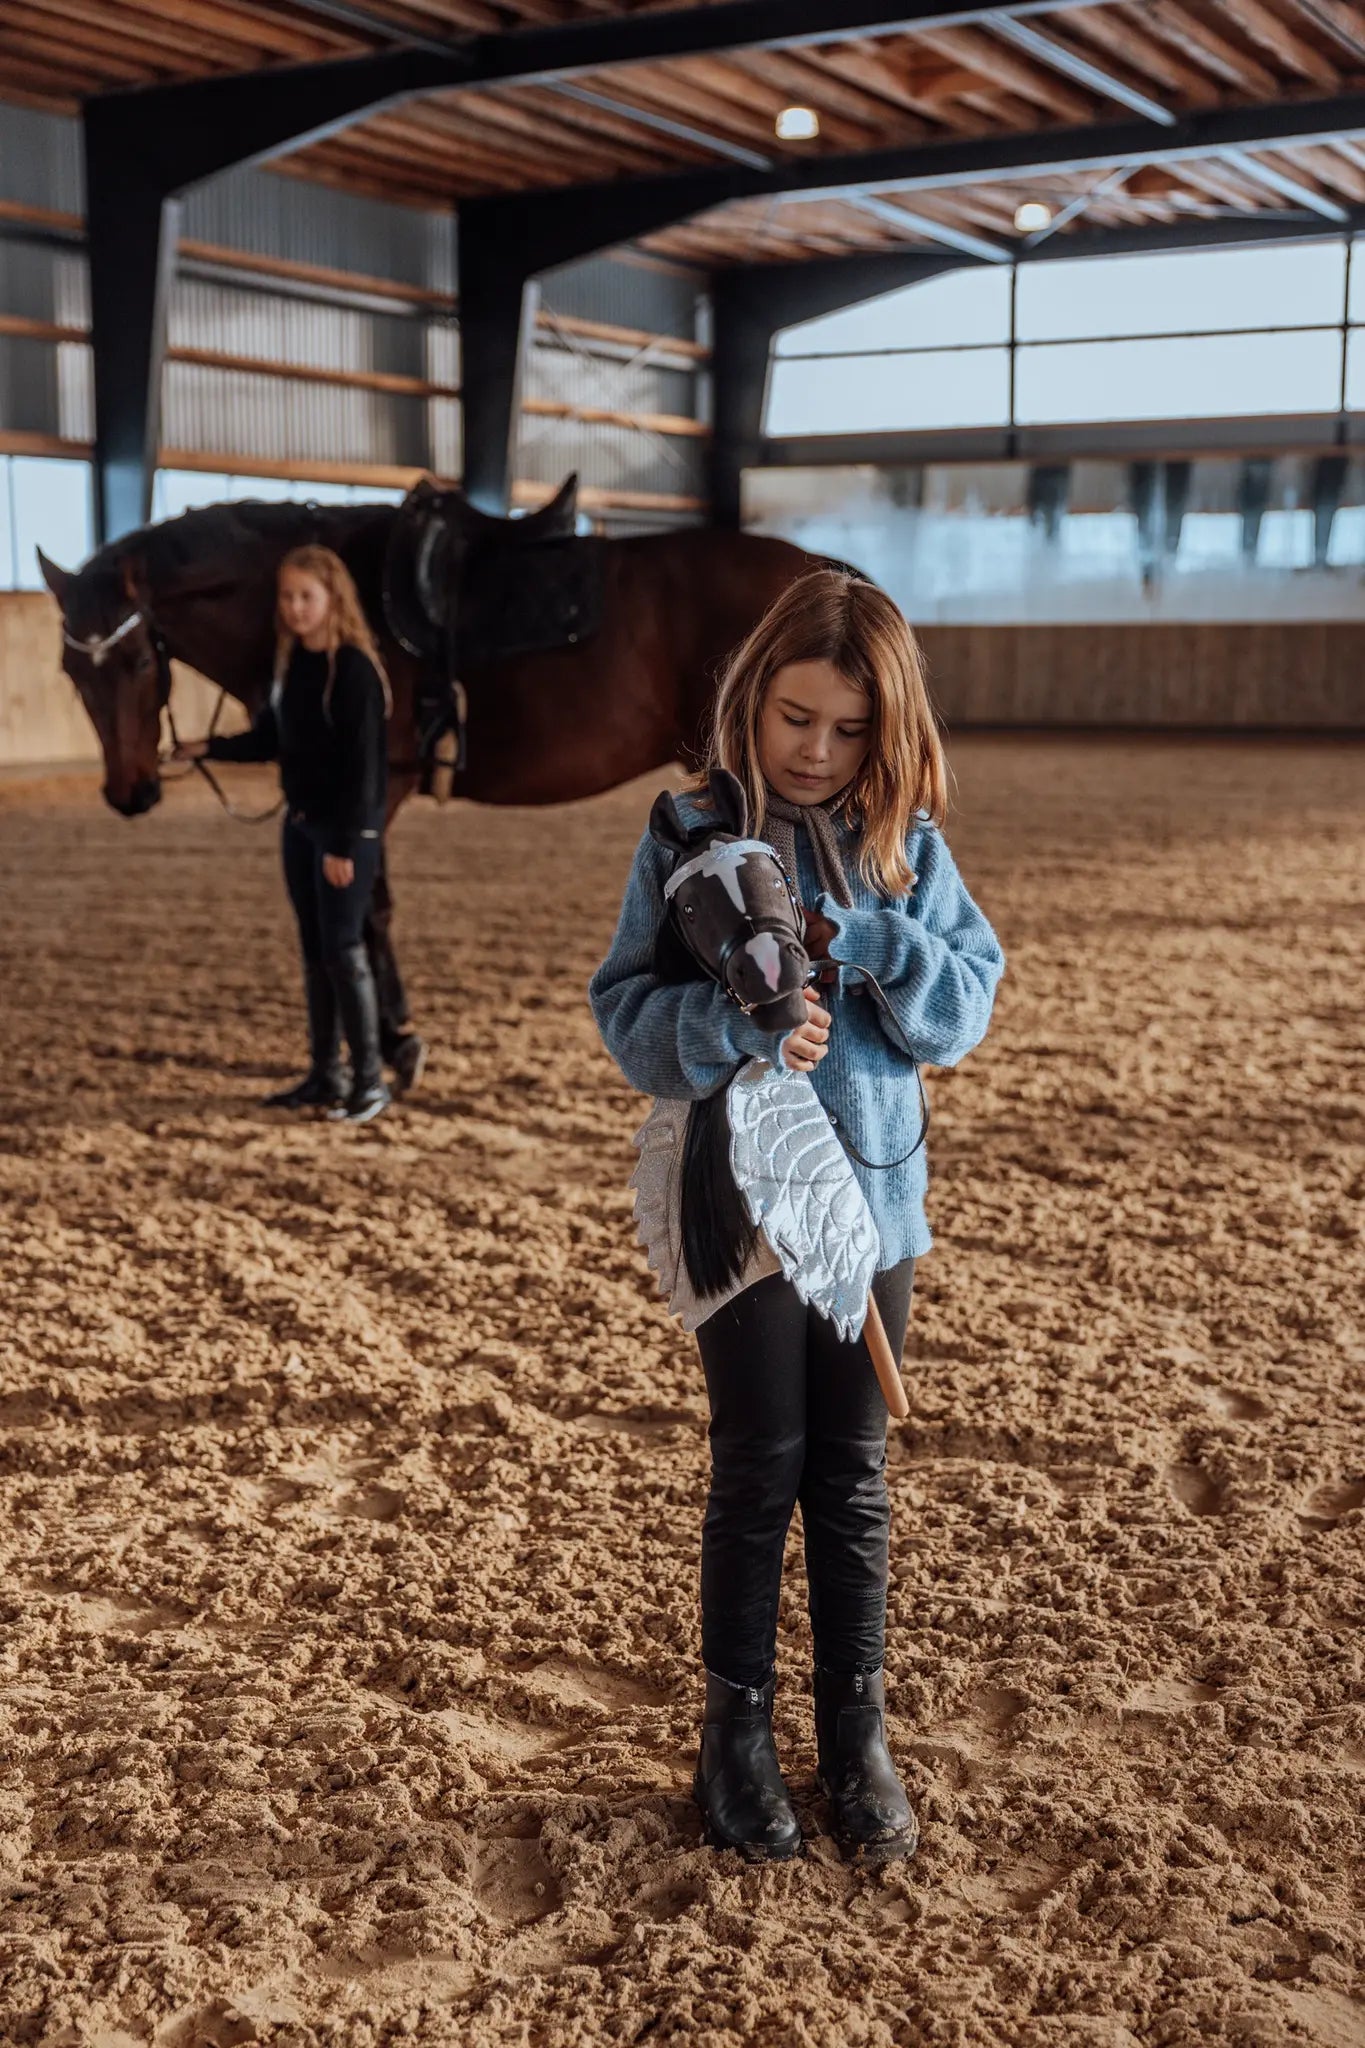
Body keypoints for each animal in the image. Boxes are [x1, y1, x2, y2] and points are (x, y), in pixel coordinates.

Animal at [37, 492, 821, 1068]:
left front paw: (399, 1044)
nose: (130, 792)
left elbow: (369, 910)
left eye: (139, 660)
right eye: (71, 671)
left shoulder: (378, 787)